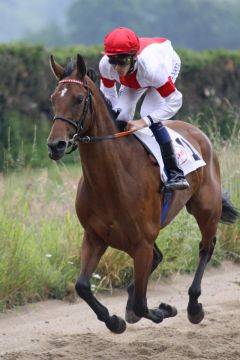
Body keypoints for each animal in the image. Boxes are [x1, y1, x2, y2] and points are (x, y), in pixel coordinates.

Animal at [46, 54, 238, 334]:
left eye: (78, 99)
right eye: (53, 98)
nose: (55, 145)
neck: (111, 182)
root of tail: (197, 132)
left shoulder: (142, 243)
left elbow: (140, 304)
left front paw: (162, 310)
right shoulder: (94, 236)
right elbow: (82, 286)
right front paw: (115, 321)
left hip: (206, 208)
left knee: (206, 247)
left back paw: (194, 306)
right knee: (160, 258)